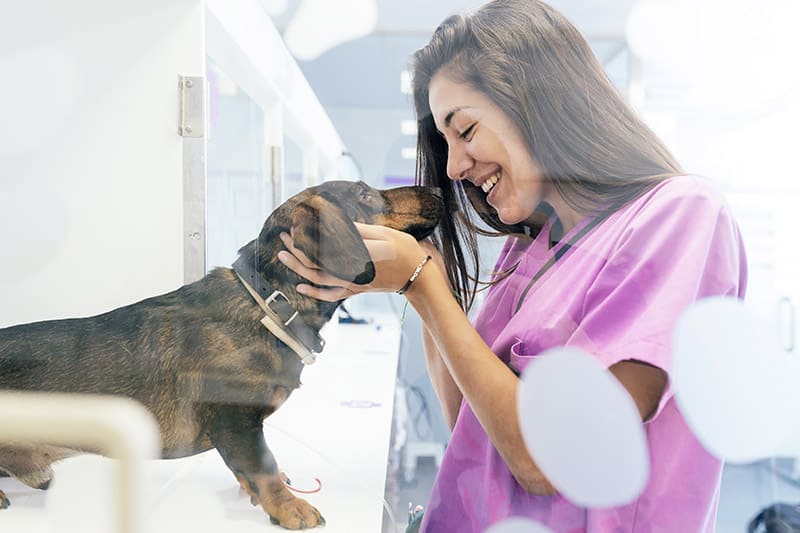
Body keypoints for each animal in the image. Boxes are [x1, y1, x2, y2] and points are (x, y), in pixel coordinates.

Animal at [0, 180, 444, 528]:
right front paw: (290, 508)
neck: (270, 305)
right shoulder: (236, 420)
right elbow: (264, 468)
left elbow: (252, 470)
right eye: (365, 194)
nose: (440, 190)